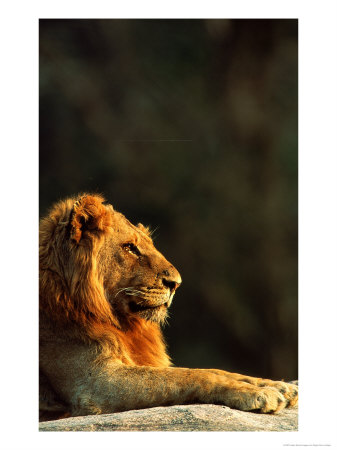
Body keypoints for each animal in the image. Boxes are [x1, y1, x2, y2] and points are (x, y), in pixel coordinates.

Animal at [38, 192, 296, 422]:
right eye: (130, 248)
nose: (176, 283)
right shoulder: (97, 382)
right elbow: (190, 376)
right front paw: (259, 393)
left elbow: (216, 370)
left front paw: (278, 386)